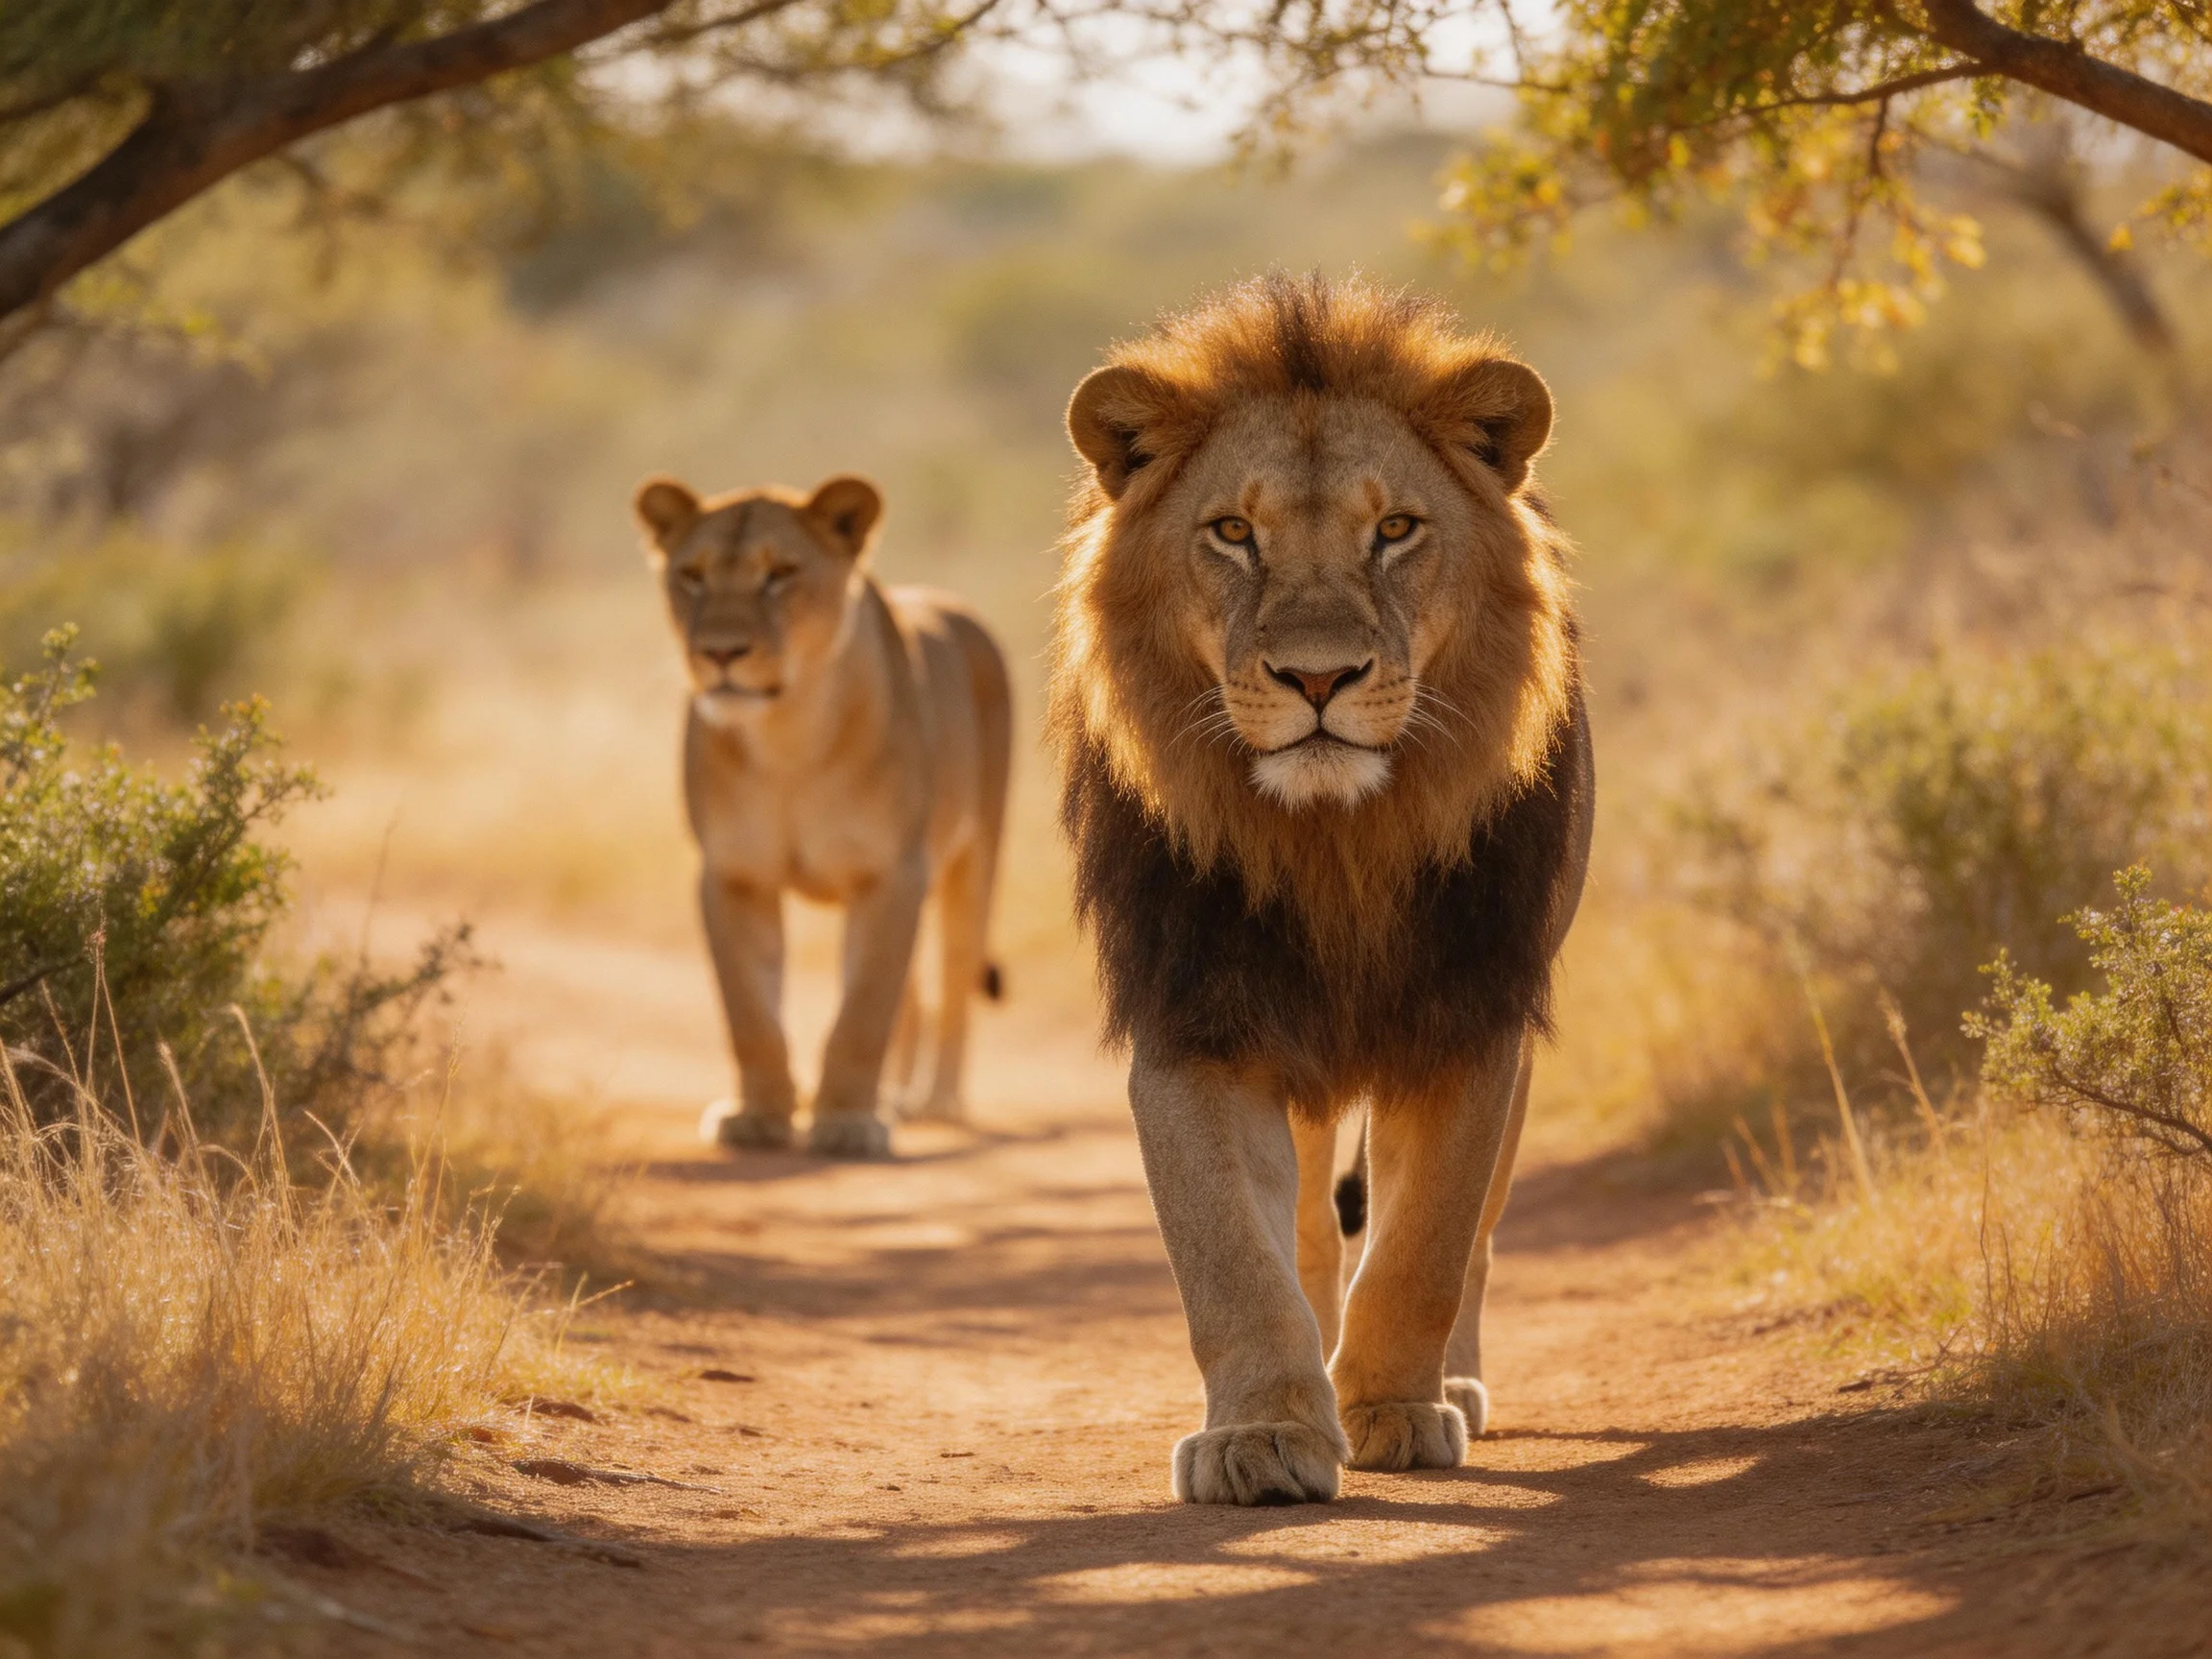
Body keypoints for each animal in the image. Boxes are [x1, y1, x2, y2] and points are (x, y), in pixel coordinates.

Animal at [633, 472, 1012, 1159]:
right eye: (692, 576)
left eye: (780, 573)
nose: (719, 653)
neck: (789, 739)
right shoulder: (734, 875)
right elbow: (751, 1012)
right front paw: (759, 1117)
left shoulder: (892, 874)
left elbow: (862, 1012)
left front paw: (846, 1122)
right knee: (913, 994)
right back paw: (897, 1095)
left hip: (975, 859)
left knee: (952, 977)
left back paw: (937, 1100)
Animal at [1051, 274, 1592, 1504]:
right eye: (1232, 532)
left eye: (1395, 530)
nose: (1317, 677)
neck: (1333, 841)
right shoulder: (1196, 1019)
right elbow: (1229, 1254)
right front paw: (1263, 1432)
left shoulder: (1470, 1016)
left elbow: (1427, 1240)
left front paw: (1394, 1407)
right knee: (1301, 1220)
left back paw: (1451, 1385)